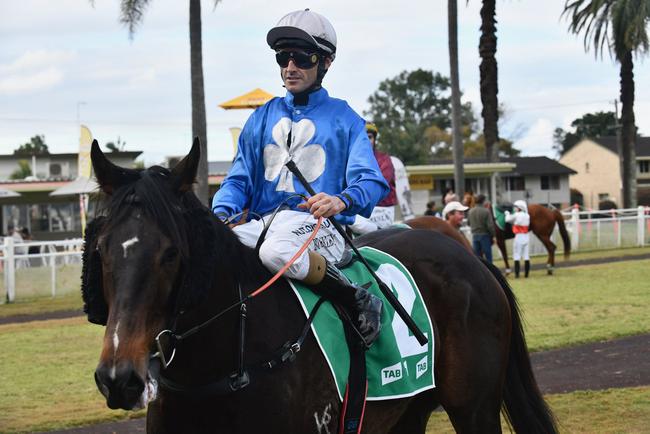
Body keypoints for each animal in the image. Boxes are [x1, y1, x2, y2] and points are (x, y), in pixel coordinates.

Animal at [83, 140, 556, 434]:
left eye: (170, 253)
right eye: (102, 249)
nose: (119, 377)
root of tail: (469, 256)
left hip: (474, 408)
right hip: (411, 408)